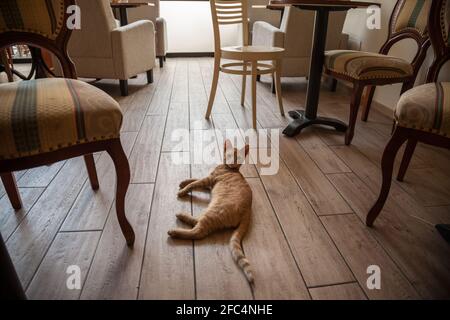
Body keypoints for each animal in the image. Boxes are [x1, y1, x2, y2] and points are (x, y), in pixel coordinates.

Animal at [168, 139, 253, 284]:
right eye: (229, 155)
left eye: (238, 158)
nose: (232, 162)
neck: (229, 169)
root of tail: (248, 210)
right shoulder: (208, 180)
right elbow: (194, 178)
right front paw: (184, 182)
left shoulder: (207, 180)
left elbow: (194, 184)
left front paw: (183, 190)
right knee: (197, 222)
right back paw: (181, 216)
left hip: (214, 211)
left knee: (198, 232)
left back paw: (175, 230)